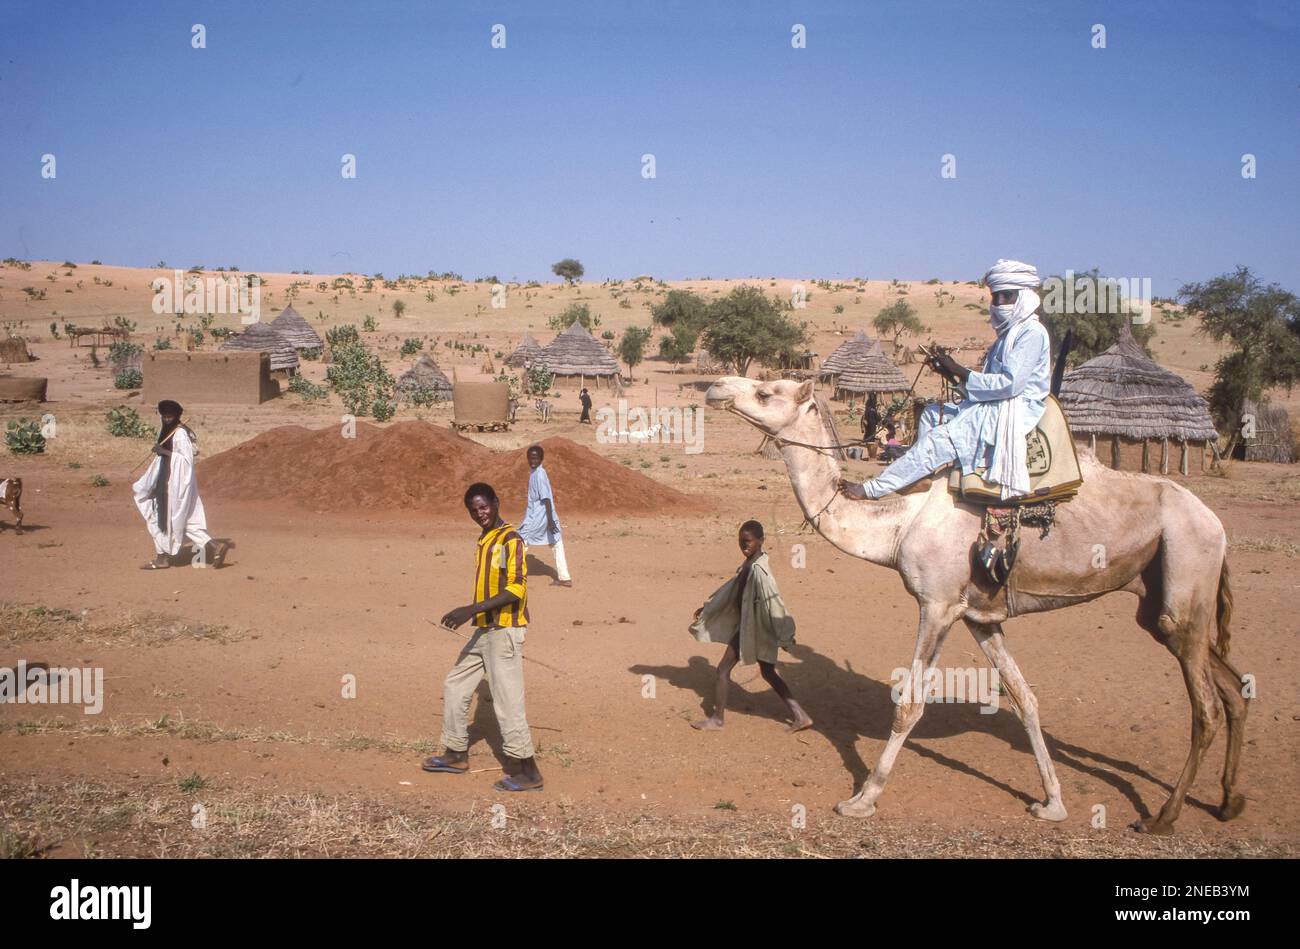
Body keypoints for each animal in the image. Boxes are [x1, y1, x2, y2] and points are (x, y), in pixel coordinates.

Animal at [712, 374, 1248, 832]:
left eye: (764, 392)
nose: (715, 387)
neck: (898, 526)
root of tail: (1217, 524)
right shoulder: (979, 617)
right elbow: (1025, 698)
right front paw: (1052, 803)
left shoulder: (937, 604)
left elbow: (910, 704)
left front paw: (862, 798)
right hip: (1161, 602)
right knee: (1234, 689)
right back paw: (1228, 801)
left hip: (1184, 578)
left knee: (1206, 708)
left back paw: (1163, 817)